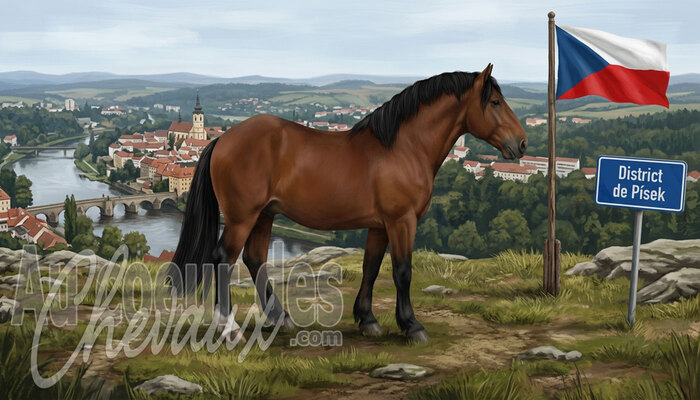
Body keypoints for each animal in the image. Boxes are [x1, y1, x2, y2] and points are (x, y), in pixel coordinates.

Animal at [171, 64, 527, 343]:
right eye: (495, 101)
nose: (522, 143)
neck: (403, 147)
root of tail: (223, 138)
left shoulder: (379, 226)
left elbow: (372, 267)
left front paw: (368, 320)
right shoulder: (402, 221)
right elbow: (402, 271)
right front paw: (412, 326)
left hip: (264, 215)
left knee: (254, 259)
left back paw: (281, 318)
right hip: (242, 217)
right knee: (223, 259)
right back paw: (229, 327)